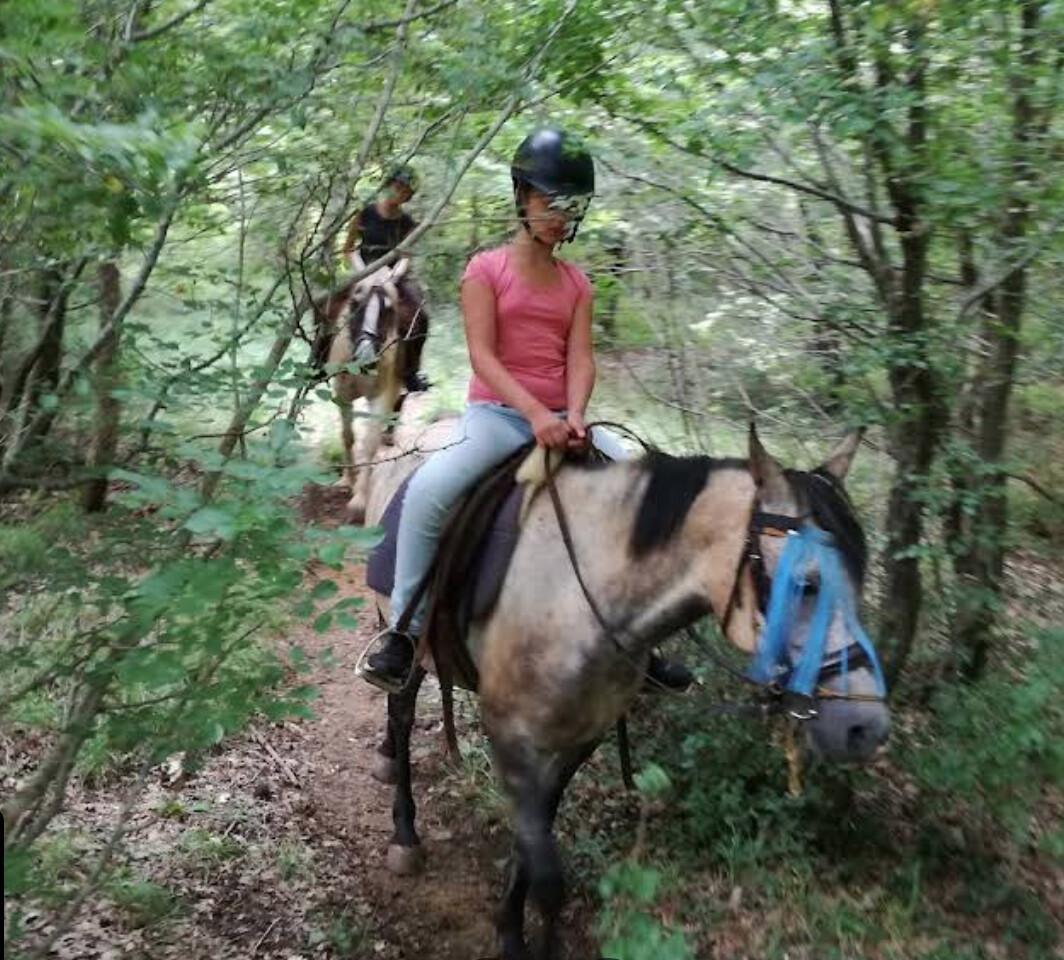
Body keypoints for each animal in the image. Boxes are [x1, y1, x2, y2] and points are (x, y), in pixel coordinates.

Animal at [312, 264, 417, 523]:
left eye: (389, 309)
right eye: (354, 304)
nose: (365, 358)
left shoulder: (381, 395)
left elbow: (369, 442)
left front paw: (360, 499)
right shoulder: (342, 394)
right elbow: (348, 436)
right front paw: (347, 480)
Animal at [361, 423, 890, 960]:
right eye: (806, 584)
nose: (865, 726)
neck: (581, 596)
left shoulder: (582, 736)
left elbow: (533, 851)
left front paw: (517, 925)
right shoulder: (510, 737)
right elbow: (548, 879)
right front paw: (516, 939)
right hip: (396, 619)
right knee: (401, 706)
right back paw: (404, 830)